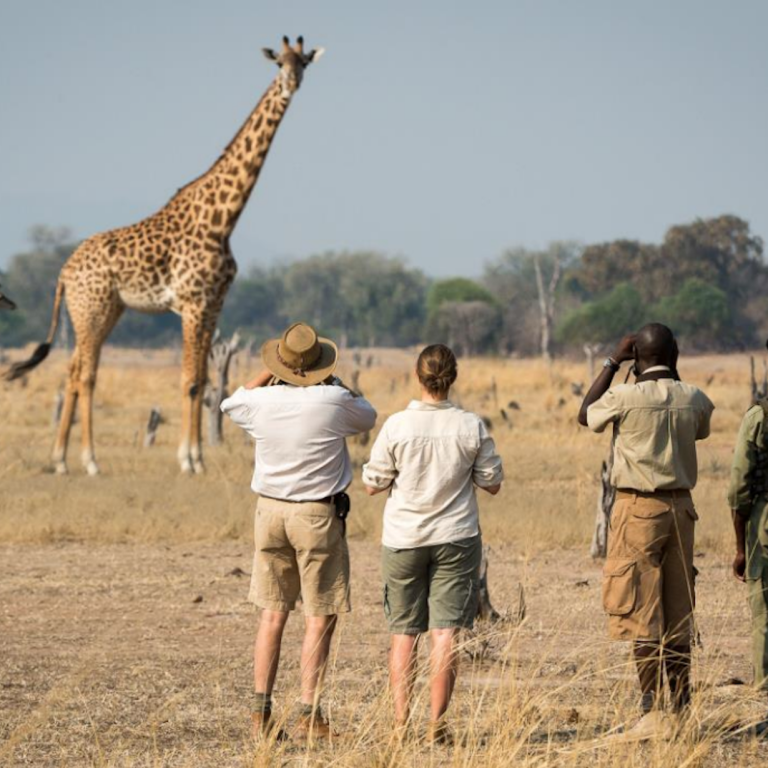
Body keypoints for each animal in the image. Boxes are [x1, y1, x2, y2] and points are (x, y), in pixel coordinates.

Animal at [3, 40, 320, 480]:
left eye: (303, 62)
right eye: (279, 63)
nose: (292, 82)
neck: (223, 218)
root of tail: (64, 273)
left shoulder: (213, 304)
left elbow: (203, 378)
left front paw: (198, 457)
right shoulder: (192, 303)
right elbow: (190, 380)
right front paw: (188, 459)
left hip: (103, 312)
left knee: (72, 372)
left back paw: (61, 458)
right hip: (91, 310)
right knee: (86, 375)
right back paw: (89, 460)